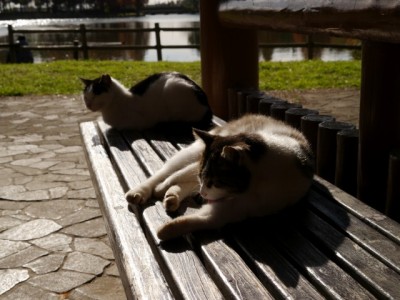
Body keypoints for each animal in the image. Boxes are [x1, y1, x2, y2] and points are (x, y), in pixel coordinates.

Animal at [126, 113, 316, 240]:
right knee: (167, 172)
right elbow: (177, 176)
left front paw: (167, 230)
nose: (203, 193)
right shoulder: (198, 168)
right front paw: (161, 187)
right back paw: (143, 191)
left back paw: (172, 197)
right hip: (192, 154)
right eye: (205, 178)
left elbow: (201, 219)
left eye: (215, 182)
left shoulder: (234, 210)